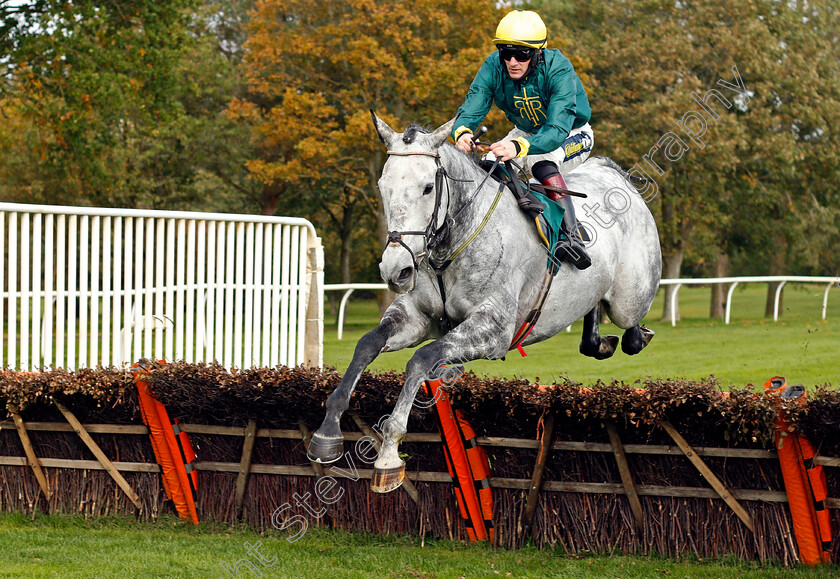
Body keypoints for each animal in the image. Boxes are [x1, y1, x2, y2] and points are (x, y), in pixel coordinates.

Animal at [308, 114, 664, 494]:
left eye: (427, 188)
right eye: (382, 185)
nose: (396, 270)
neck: (454, 244)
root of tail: (612, 171)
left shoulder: (493, 330)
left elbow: (422, 359)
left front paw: (389, 454)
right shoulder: (416, 317)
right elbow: (367, 344)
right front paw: (326, 434)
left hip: (630, 296)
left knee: (629, 322)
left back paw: (634, 335)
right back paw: (598, 342)